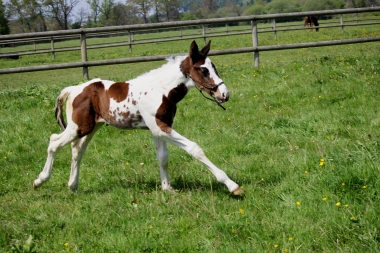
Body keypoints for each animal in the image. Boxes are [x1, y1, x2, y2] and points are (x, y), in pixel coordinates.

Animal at [32, 41, 240, 196]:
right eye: (204, 70)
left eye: (214, 67)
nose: (224, 94)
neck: (161, 90)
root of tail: (74, 89)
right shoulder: (159, 127)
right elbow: (195, 148)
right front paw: (232, 185)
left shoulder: (160, 128)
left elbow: (163, 157)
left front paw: (167, 188)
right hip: (78, 127)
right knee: (54, 142)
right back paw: (39, 180)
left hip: (91, 127)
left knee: (77, 150)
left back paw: (73, 186)